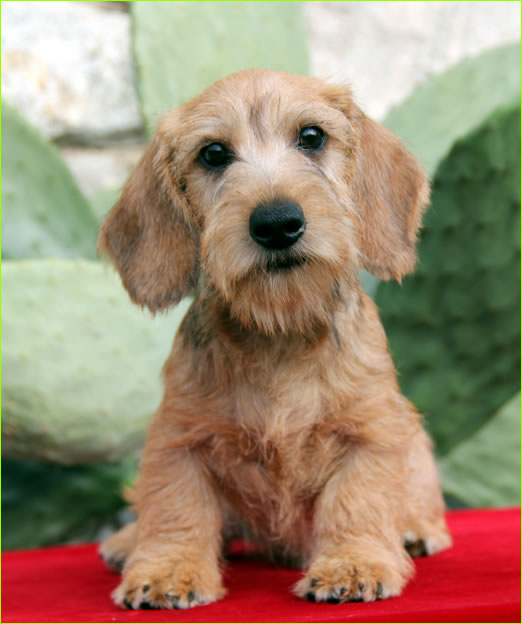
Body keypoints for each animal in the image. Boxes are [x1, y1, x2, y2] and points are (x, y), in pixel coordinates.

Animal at [99, 69, 448, 608]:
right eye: (213, 153)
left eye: (312, 136)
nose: (277, 222)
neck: (281, 327)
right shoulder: (180, 437)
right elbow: (176, 508)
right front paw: (169, 570)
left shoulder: (370, 430)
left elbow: (357, 500)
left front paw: (353, 563)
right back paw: (127, 540)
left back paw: (415, 528)